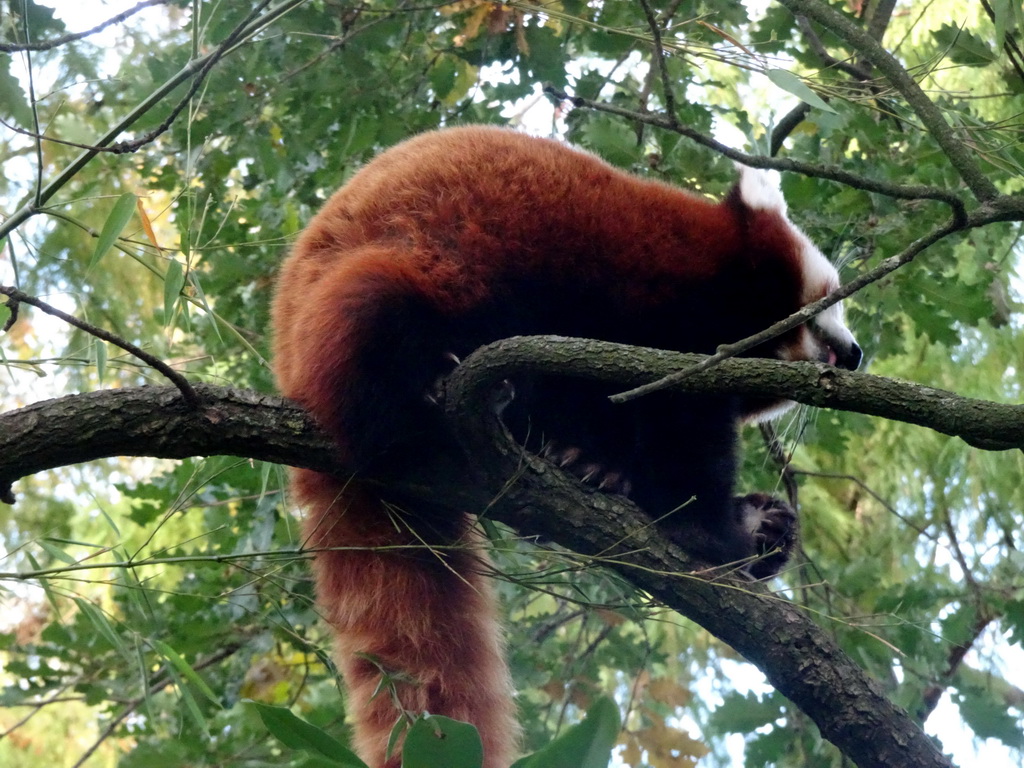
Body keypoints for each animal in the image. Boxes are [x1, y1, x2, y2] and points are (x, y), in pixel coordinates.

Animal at [270, 126, 856, 768]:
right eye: (834, 297)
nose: (856, 354)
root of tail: (289, 367)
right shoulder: (663, 302)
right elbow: (682, 428)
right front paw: (715, 534)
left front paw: (743, 523)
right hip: (403, 269)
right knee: (378, 310)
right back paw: (425, 392)